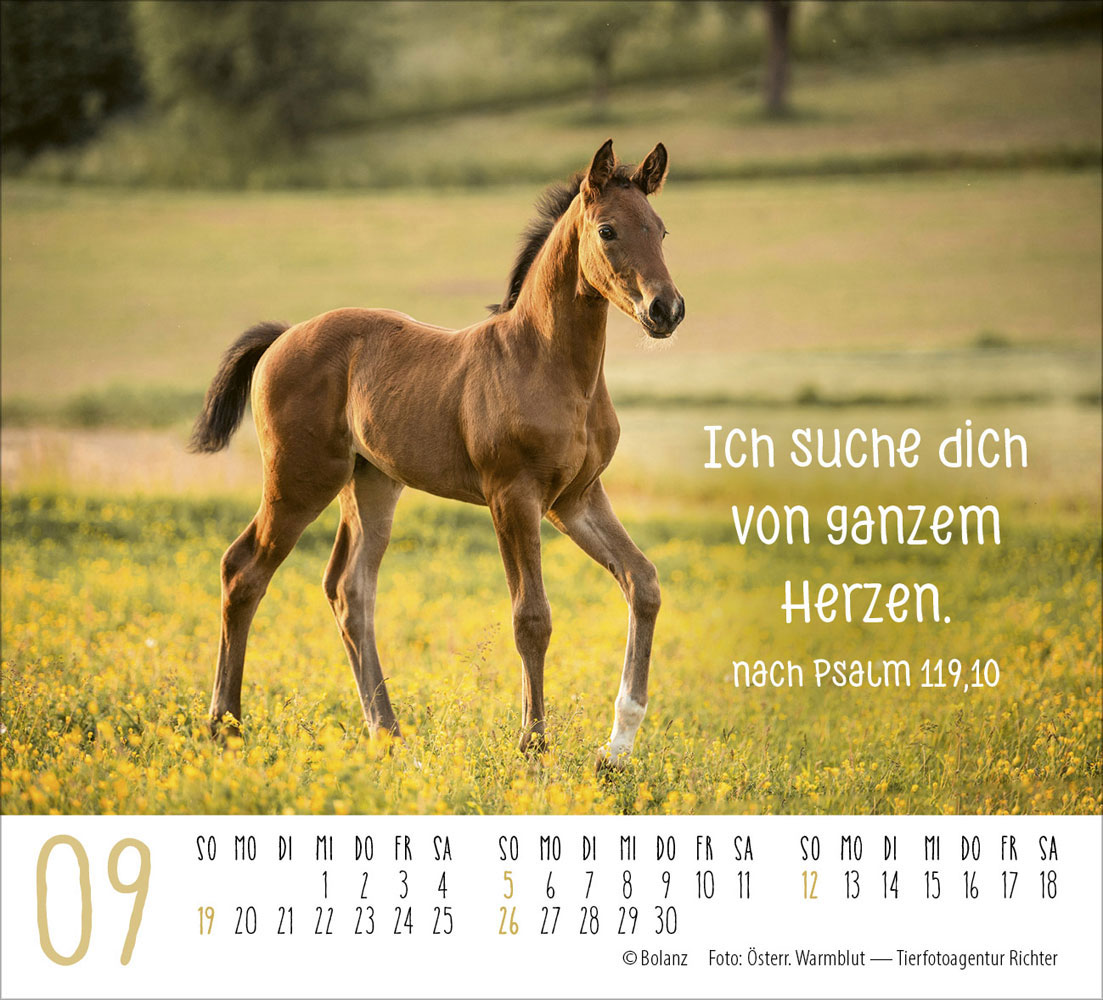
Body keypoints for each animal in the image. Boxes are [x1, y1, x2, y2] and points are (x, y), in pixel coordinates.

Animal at [190, 139, 684, 767]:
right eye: (608, 231)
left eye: (661, 229)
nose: (666, 310)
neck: (547, 362)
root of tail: (282, 335)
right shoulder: (513, 496)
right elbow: (532, 616)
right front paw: (533, 745)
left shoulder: (575, 498)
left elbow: (642, 582)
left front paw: (616, 747)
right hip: (299, 479)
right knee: (243, 570)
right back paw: (225, 727)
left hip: (371, 483)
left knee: (350, 591)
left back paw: (388, 734)